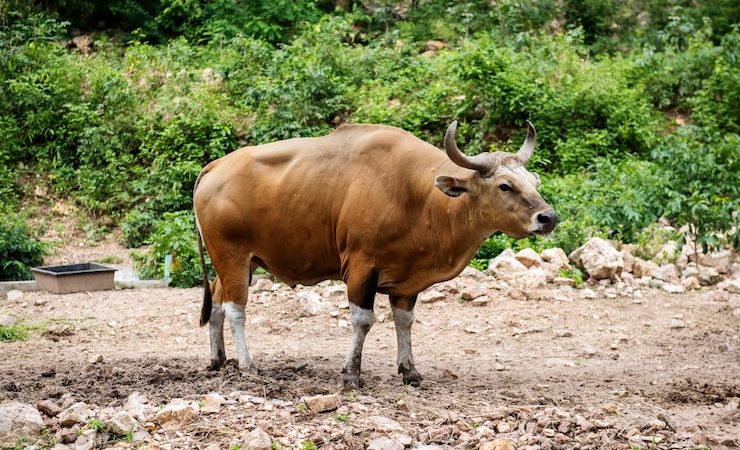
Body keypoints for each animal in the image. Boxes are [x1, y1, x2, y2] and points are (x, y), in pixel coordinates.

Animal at [191, 119, 556, 386]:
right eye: (504, 186)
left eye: (534, 182)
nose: (548, 217)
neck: (419, 200)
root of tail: (216, 166)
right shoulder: (360, 267)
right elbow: (363, 320)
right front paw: (352, 373)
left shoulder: (406, 281)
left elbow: (405, 322)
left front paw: (409, 370)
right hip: (232, 256)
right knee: (236, 310)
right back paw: (247, 365)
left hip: (238, 263)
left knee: (217, 303)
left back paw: (218, 360)